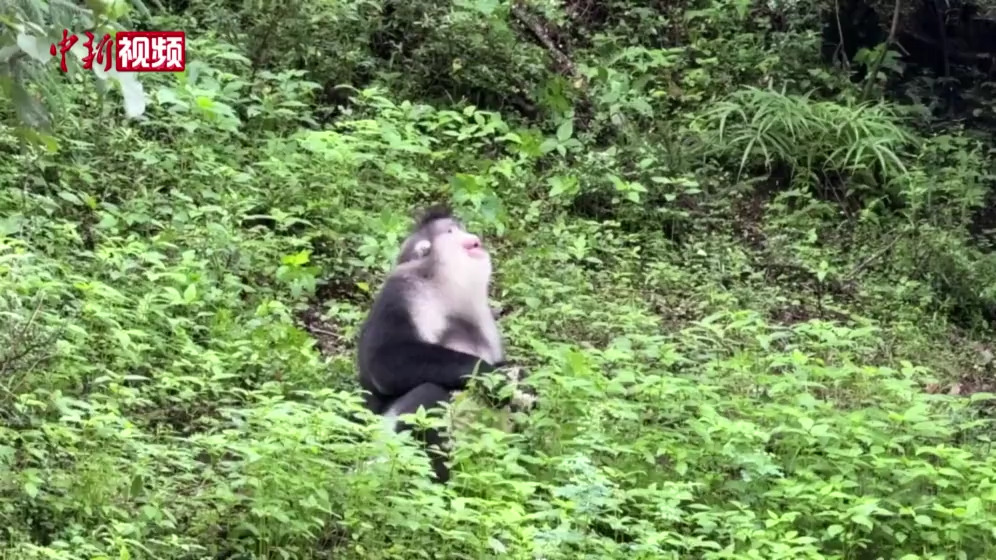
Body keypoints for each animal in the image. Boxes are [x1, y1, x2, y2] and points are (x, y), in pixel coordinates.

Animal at [354, 205, 532, 482]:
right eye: (450, 231)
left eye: (460, 228)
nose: (473, 238)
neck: (442, 286)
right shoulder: (400, 294)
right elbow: (383, 364)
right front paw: (490, 376)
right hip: (382, 442)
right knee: (429, 393)